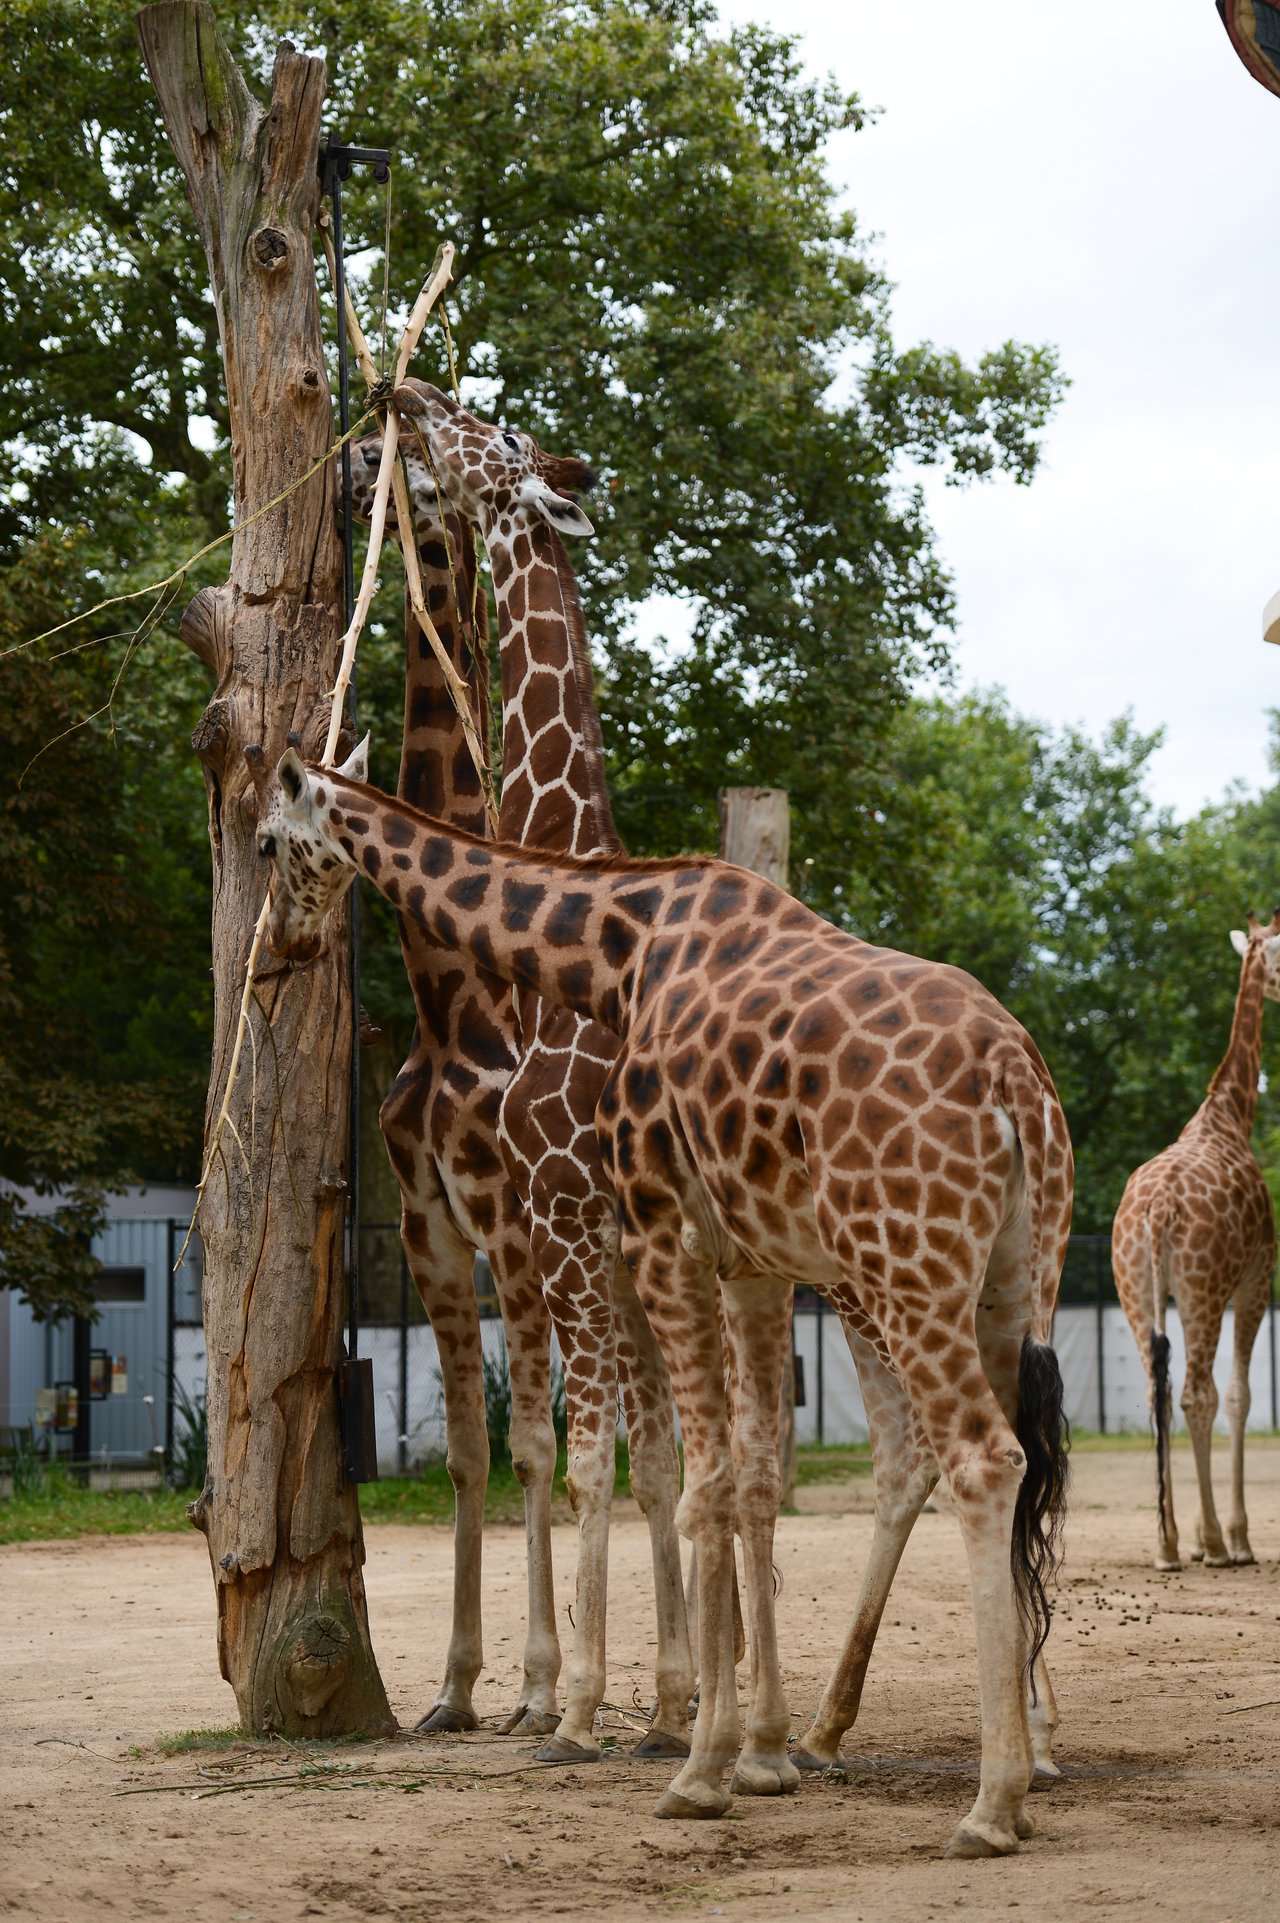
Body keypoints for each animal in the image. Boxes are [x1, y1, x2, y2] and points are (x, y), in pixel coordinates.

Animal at [249, 750, 1074, 1857]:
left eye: (265, 843)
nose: (274, 955)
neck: (618, 951)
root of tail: (1015, 1080)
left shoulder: (652, 1226)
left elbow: (689, 1481)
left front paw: (691, 1764)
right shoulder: (751, 1261)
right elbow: (742, 1478)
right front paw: (751, 1755)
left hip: (903, 1264)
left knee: (979, 1459)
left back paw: (987, 1805)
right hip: (1013, 1277)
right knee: (1012, 1464)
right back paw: (996, 1763)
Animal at [349, 426, 693, 1757]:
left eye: (484, 439)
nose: (392, 408)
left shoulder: (536, 1217)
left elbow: (566, 1451)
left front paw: (562, 1698)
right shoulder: (437, 1228)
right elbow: (484, 1454)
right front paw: (468, 1690)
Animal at [1112, 913, 1280, 1571]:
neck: (1231, 1114)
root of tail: (1158, 1210)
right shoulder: (1256, 1278)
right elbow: (1239, 1396)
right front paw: (1238, 1537)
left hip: (1137, 1288)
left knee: (1158, 1393)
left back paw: (1166, 1543)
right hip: (1202, 1291)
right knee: (1194, 1395)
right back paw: (1209, 1541)